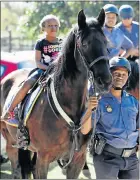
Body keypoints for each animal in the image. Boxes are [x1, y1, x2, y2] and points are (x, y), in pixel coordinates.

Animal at [0, 9, 111, 179]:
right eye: (85, 44)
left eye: (106, 42)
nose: (105, 80)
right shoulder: (44, 159)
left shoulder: (77, 159)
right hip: (10, 143)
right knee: (16, 168)